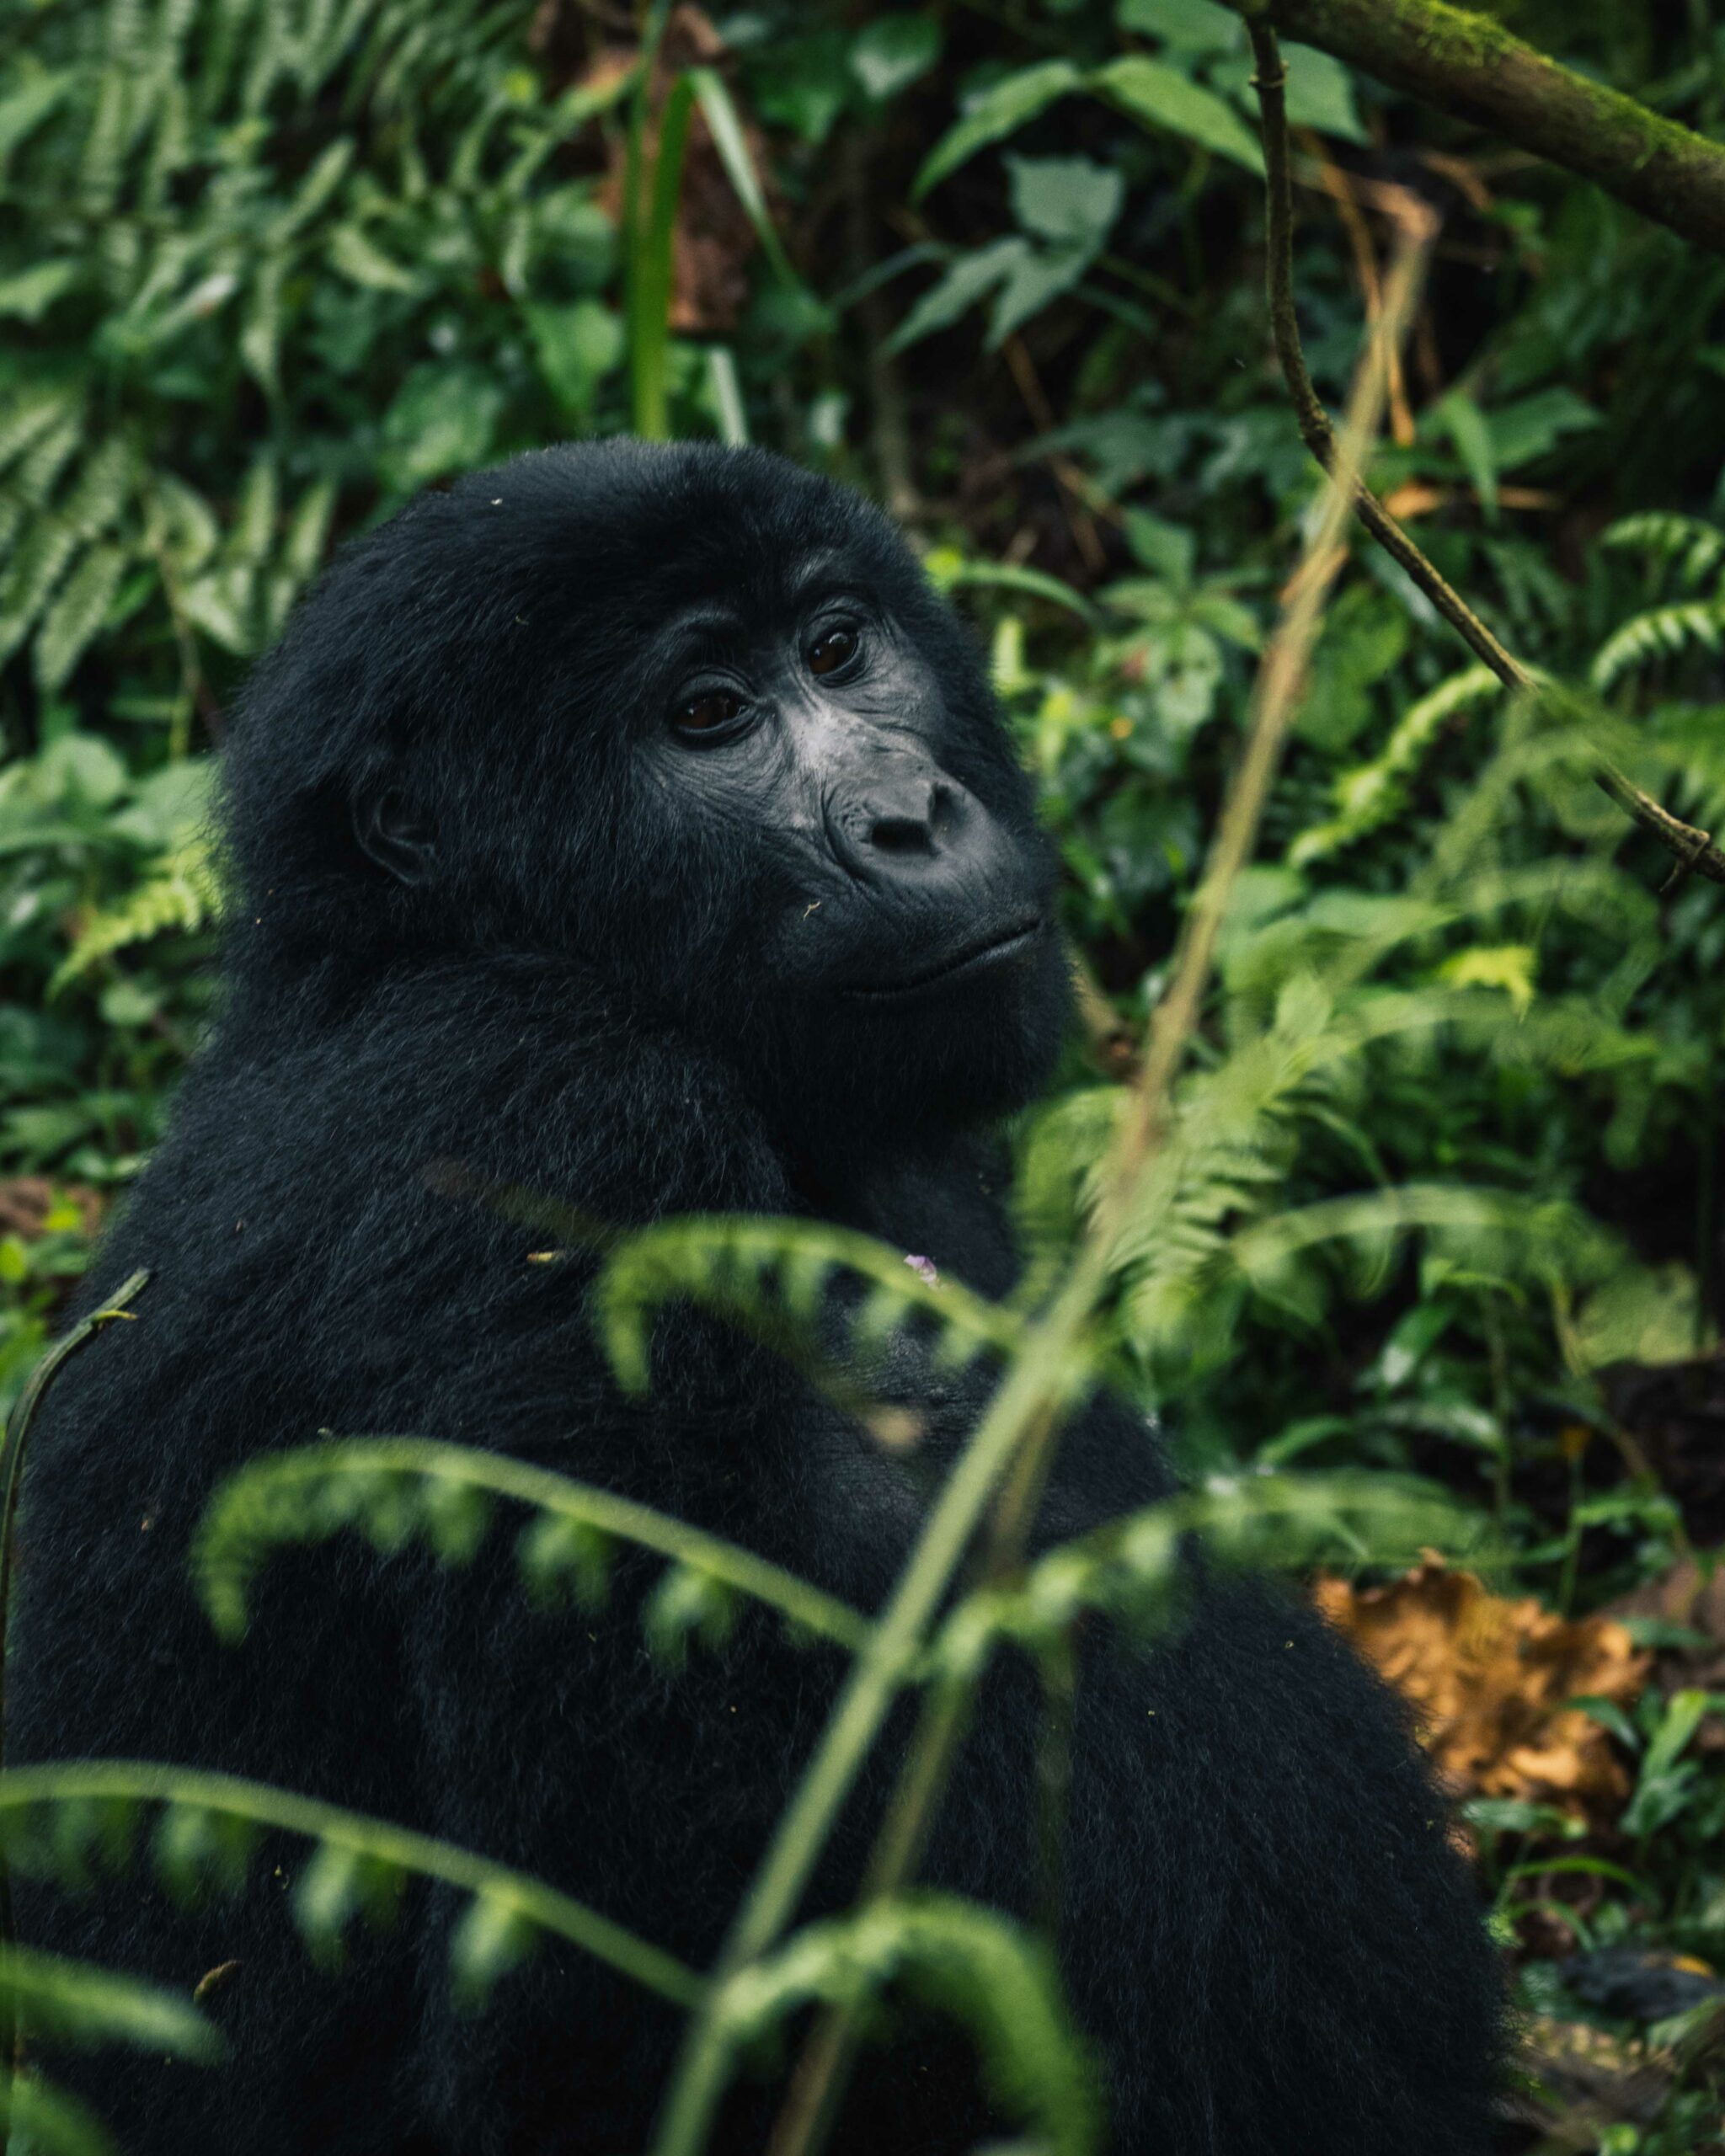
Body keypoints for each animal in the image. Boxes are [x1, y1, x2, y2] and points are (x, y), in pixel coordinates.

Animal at [7, 441, 1492, 2156]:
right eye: (706, 714)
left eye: (838, 649)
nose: (912, 814)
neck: (428, 953)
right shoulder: (539, 1122)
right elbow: (610, 1983)